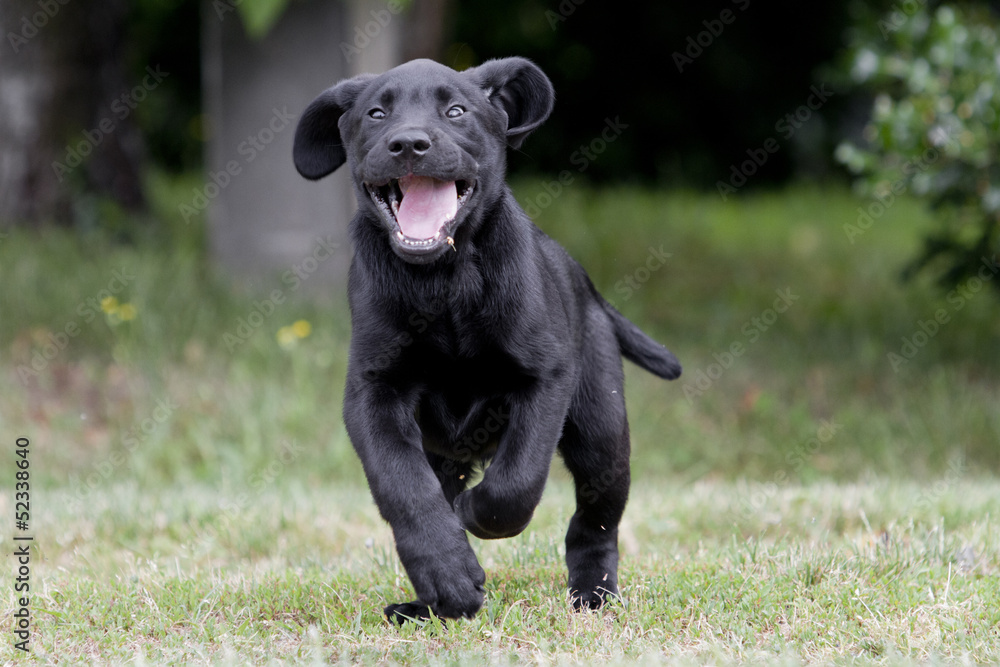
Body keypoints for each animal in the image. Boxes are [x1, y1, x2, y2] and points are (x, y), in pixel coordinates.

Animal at [290, 58, 680, 628]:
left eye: (456, 111)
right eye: (376, 113)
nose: (409, 144)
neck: (444, 283)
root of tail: (586, 284)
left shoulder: (544, 377)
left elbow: (516, 482)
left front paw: (475, 513)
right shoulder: (373, 391)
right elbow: (405, 488)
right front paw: (449, 578)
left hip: (601, 431)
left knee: (595, 522)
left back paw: (593, 594)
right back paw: (426, 603)